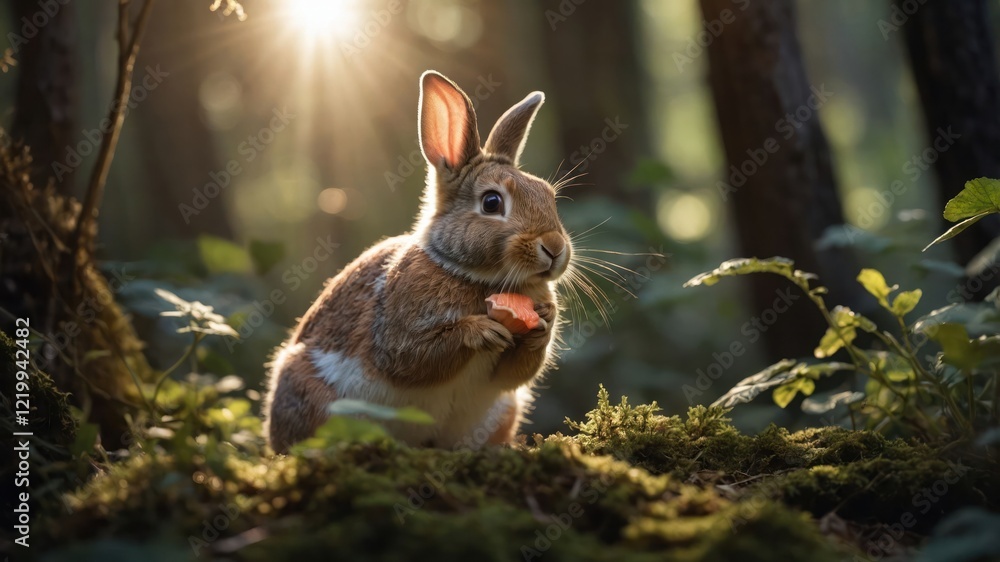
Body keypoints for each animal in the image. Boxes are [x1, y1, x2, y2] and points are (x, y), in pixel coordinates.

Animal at [263, 70, 571, 454]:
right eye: (491, 202)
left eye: (549, 196)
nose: (555, 248)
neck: (477, 277)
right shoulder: (396, 336)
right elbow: (414, 358)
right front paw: (480, 331)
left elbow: (516, 372)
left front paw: (544, 320)